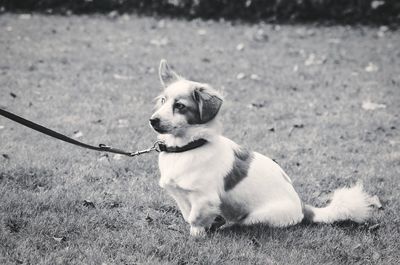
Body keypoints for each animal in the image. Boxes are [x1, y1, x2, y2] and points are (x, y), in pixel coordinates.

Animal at [149, 59, 378, 235]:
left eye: (180, 106)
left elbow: (195, 218)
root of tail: (303, 208)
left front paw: (197, 235)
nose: (153, 120)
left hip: (255, 216)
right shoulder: (181, 196)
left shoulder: (205, 198)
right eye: (162, 100)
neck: (189, 147)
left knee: (241, 224)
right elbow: (187, 214)